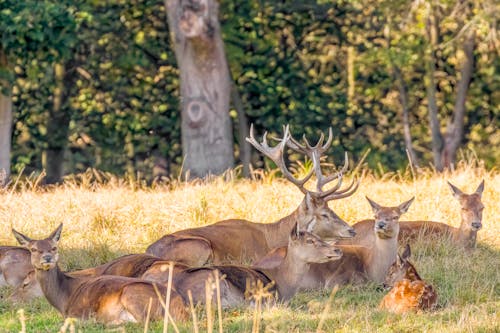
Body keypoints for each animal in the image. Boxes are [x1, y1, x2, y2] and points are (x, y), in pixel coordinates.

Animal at [11, 224, 188, 322]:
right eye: (33, 249)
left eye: (54, 247)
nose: (47, 257)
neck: (63, 298)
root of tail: (180, 308)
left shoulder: (76, 313)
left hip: (132, 294)